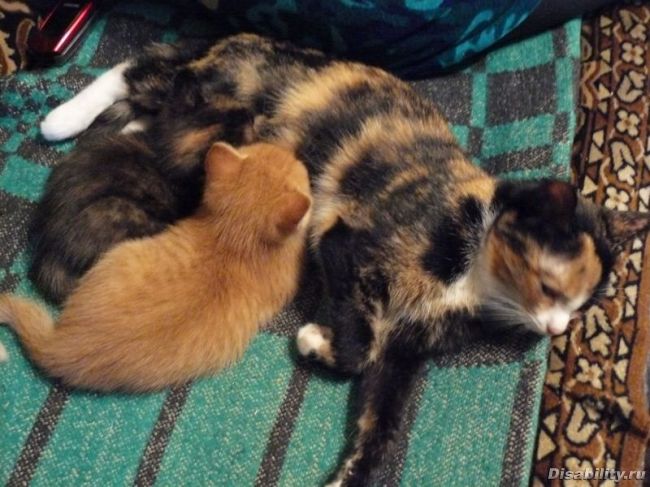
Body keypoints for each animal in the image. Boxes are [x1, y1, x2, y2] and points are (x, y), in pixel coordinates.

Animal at [36, 34, 650, 485]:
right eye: (550, 288)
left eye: (584, 306)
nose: (556, 329)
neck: (470, 274)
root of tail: (240, 38)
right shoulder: (343, 236)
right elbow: (359, 346)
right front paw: (317, 341)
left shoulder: (406, 349)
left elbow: (382, 425)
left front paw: (349, 473)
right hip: (221, 86)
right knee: (142, 67)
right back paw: (62, 118)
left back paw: (131, 126)